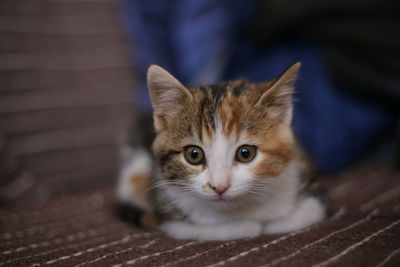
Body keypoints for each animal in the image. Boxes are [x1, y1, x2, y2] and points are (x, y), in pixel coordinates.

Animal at [115, 63, 324, 243]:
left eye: (245, 153)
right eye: (194, 155)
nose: (220, 186)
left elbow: (302, 215)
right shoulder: (170, 220)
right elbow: (214, 229)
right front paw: (247, 226)